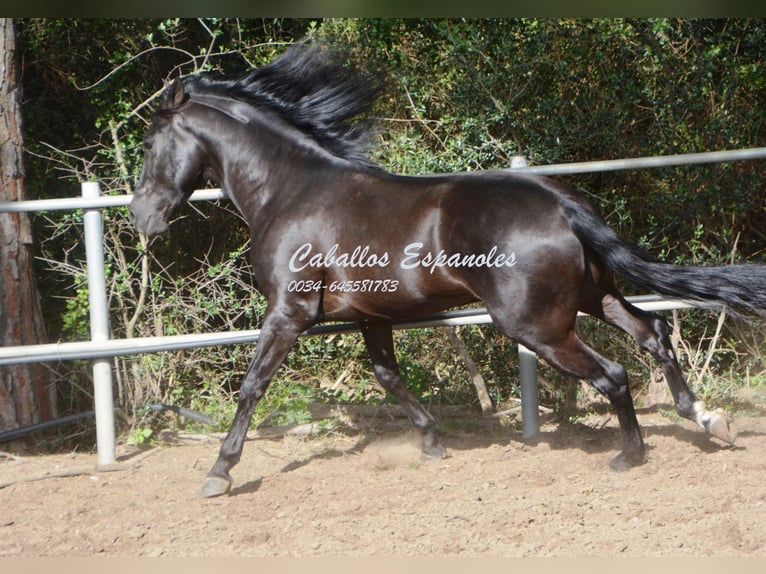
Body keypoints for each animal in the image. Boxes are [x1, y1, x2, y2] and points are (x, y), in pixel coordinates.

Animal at [129, 40, 764, 500]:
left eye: (151, 144)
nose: (141, 217)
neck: (290, 192)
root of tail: (560, 204)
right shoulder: (372, 314)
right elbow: (386, 374)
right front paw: (432, 441)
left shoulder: (288, 311)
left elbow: (253, 385)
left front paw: (219, 473)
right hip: (591, 297)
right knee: (652, 332)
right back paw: (707, 418)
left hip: (536, 325)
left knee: (612, 374)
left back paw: (629, 455)